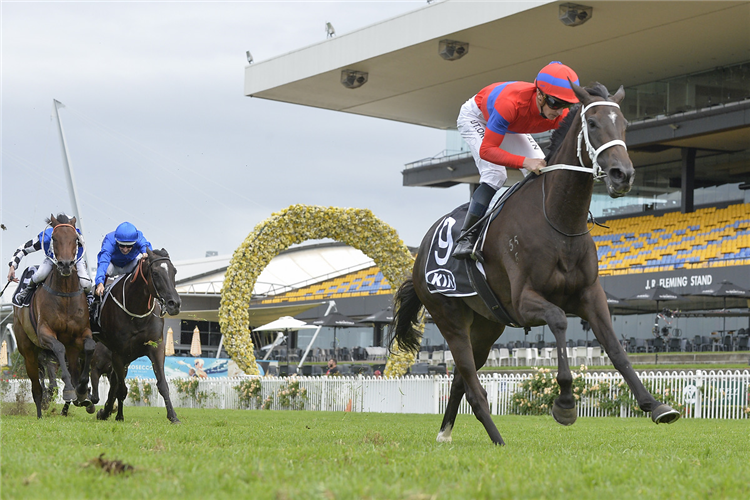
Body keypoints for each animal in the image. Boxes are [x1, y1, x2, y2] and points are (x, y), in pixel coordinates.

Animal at [12, 215, 95, 418]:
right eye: (55, 239)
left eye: (75, 239)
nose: (65, 264)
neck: (65, 294)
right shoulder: (45, 333)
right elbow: (58, 348)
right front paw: (70, 390)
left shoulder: (80, 334)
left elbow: (89, 347)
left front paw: (82, 391)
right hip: (28, 352)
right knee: (36, 387)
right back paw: (40, 412)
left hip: (69, 350)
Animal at [95, 246, 182, 422]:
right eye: (155, 273)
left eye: (174, 271)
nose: (174, 304)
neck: (137, 313)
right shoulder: (119, 353)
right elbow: (121, 388)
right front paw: (117, 414)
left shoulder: (156, 347)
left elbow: (162, 384)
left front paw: (173, 416)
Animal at [394, 82, 680, 446]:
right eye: (593, 124)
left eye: (625, 124)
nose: (623, 175)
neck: (559, 221)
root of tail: (419, 256)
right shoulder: (523, 301)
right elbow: (558, 321)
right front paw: (565, 403)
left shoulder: (590, 295)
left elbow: (615, 348)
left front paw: (655, 405)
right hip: (450, 317)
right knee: (472, 384)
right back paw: (498, 439)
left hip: (487, 325)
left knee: (461, 378)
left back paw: (447, 432)